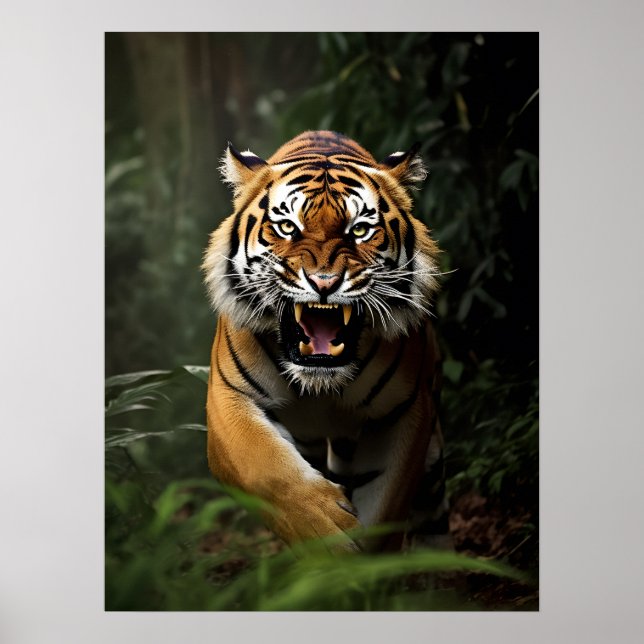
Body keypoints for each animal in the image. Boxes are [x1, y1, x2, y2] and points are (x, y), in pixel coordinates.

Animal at [202, 130, 447, 551]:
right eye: (287, 226)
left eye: (360, 230)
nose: (324, 282)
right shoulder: (227, 398)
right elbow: (267, 470)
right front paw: (327, 533)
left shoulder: (405, 411)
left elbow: (385, 506)